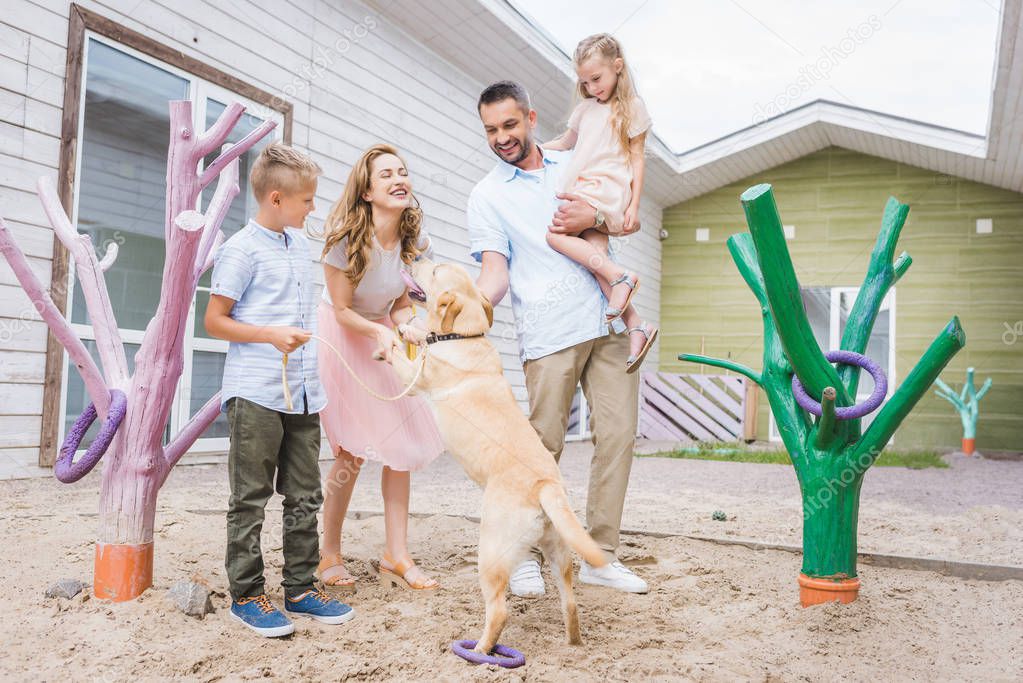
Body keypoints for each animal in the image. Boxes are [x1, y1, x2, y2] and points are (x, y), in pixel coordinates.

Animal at [382, 258, 605, 654]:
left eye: (435, 270)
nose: (415, 256)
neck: (462, 336)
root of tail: (545, 485)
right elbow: (418, 336)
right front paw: (408, 328)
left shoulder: (415, 377)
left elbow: (397, 350)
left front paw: (385, 336)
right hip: (560, 552)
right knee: (571, 603)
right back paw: (572, 642)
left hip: (490, 555)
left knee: (499, 611)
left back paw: (478, 652)